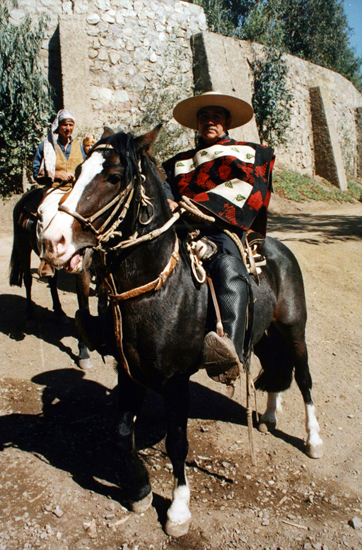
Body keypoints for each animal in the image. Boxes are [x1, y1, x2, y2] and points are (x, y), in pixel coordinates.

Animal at [38, 128, 324, 540]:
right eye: (76, 172)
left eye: (114, 177)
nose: (52, 242)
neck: (158, 290)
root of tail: (274, 248)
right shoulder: (128, 373)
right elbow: (122, 432)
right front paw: (140, 489)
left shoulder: (176, 381)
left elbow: (177, 443)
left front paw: (178, 510)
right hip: (264, 335)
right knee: (274, 369)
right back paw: (268, 414)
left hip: (293, 329)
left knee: (303, 377)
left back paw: (313, 438)